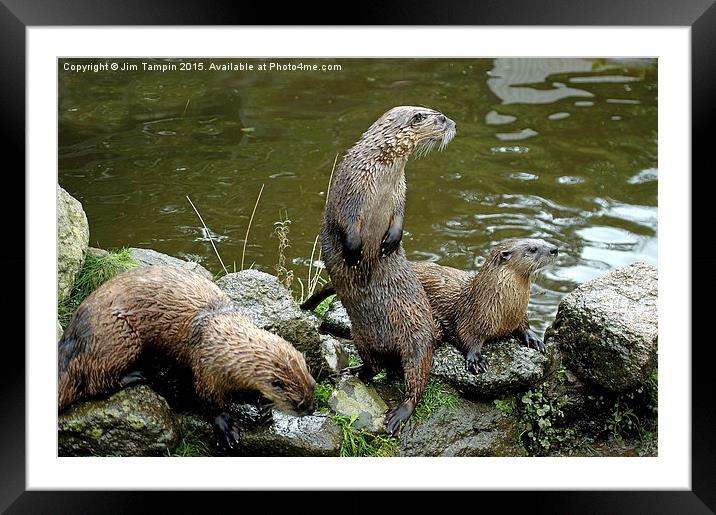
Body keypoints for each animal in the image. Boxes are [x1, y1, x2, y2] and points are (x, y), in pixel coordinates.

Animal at [60, 266, 318, 452]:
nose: (311, 409)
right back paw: (138, 375)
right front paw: (227, 427)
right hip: (120, 338)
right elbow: (208, 400)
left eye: (314, 387)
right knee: (94, 380)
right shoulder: (205, 368)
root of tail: (71, 336)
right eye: (297, 403)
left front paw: (261, 404)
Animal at [302, 238, 560, 374]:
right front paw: (476, 359)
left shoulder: (519, 315)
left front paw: (535, 339)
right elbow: (468, 337)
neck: (505, 308)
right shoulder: (472, 317)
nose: (554, 248)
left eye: (541, 240)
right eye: (532, 249)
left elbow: (524, 325)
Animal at [320, 107, 456, 438]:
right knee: (375, 366)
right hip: (359, 335)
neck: (380, 182)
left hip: (416, 338)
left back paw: (399, 414)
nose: (454, 123)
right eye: (440, 117)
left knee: (416, 382)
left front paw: (390, 243)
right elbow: (346, 226)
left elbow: (399, 221)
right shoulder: (350, 194)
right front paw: (354, 252)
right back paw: (353, 371)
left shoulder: (400, 194)